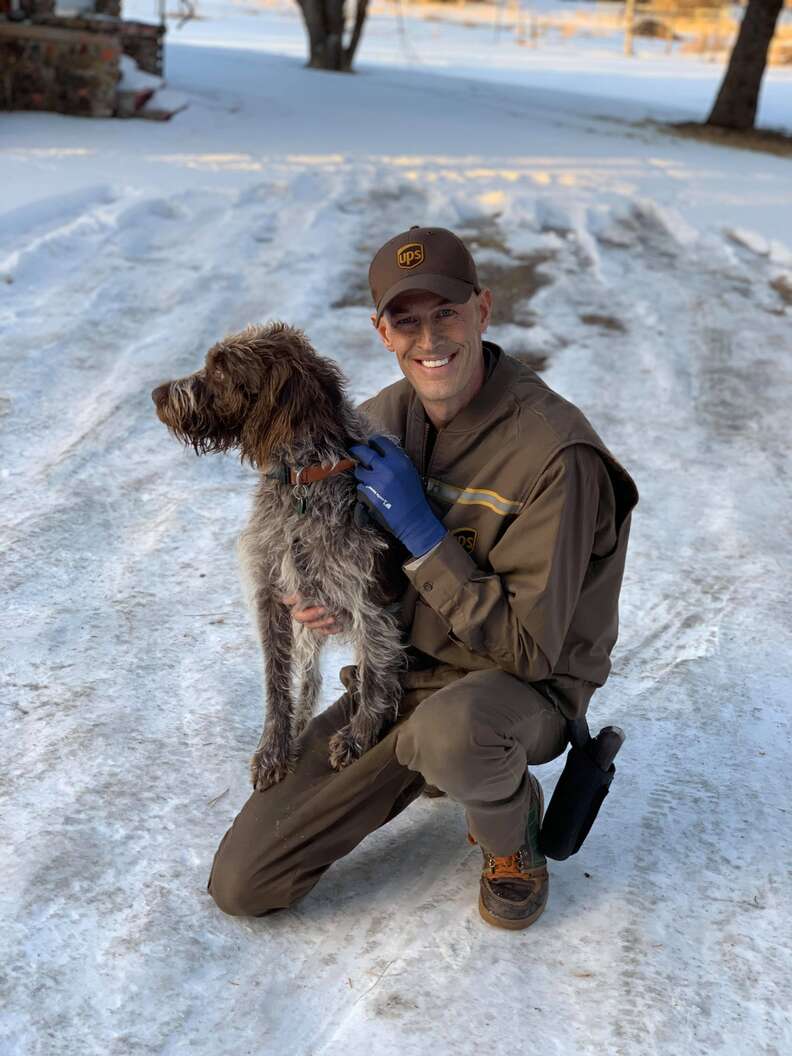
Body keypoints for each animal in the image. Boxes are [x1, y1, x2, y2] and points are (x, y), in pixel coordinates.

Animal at [152, 321, 409, 794]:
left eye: (221, 370)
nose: (157, 395)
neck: (303, 481)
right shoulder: (271, 591)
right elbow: (276, 681)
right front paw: (274, 747)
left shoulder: (367, 601)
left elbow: (376, 670)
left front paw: (359, 735)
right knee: (309, 675)